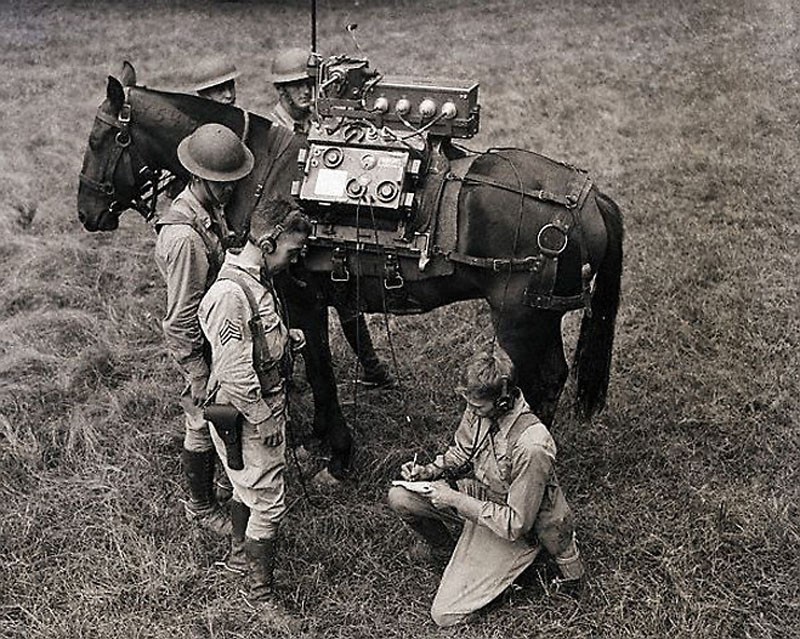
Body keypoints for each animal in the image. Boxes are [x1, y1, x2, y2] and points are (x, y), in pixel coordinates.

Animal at [76, 62, 624, 480]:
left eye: (101, 138)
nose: (86, 212)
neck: (263, 172)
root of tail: (586, 195)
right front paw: (322, 435)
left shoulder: (303, 298)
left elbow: (320, 370)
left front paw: (337, 449)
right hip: (542, 315)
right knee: (553, 376)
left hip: (518, 318)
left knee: (532, 382)